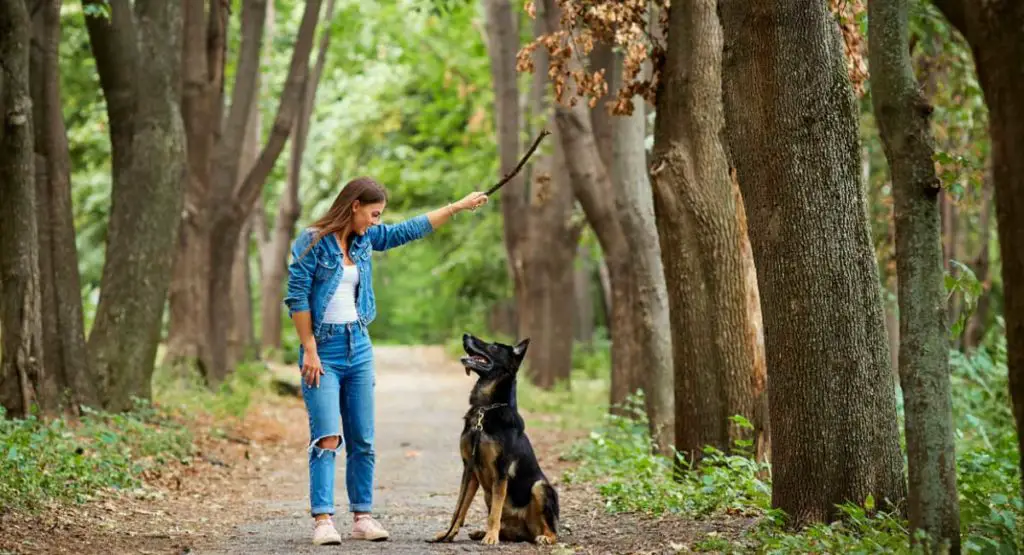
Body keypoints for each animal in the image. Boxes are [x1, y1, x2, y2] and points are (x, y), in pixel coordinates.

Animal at [430, 335, 565, 548]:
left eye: (493, 347)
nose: (465, 335)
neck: (485, 408)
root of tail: (526, 532)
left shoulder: (500, 473)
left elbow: (495, 512)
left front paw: (491, 537)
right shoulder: (469, 470)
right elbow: (459, 508)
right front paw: (448, 533)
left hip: (540, 487)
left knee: (552, 531)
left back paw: (542, 537)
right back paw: (481, 532)